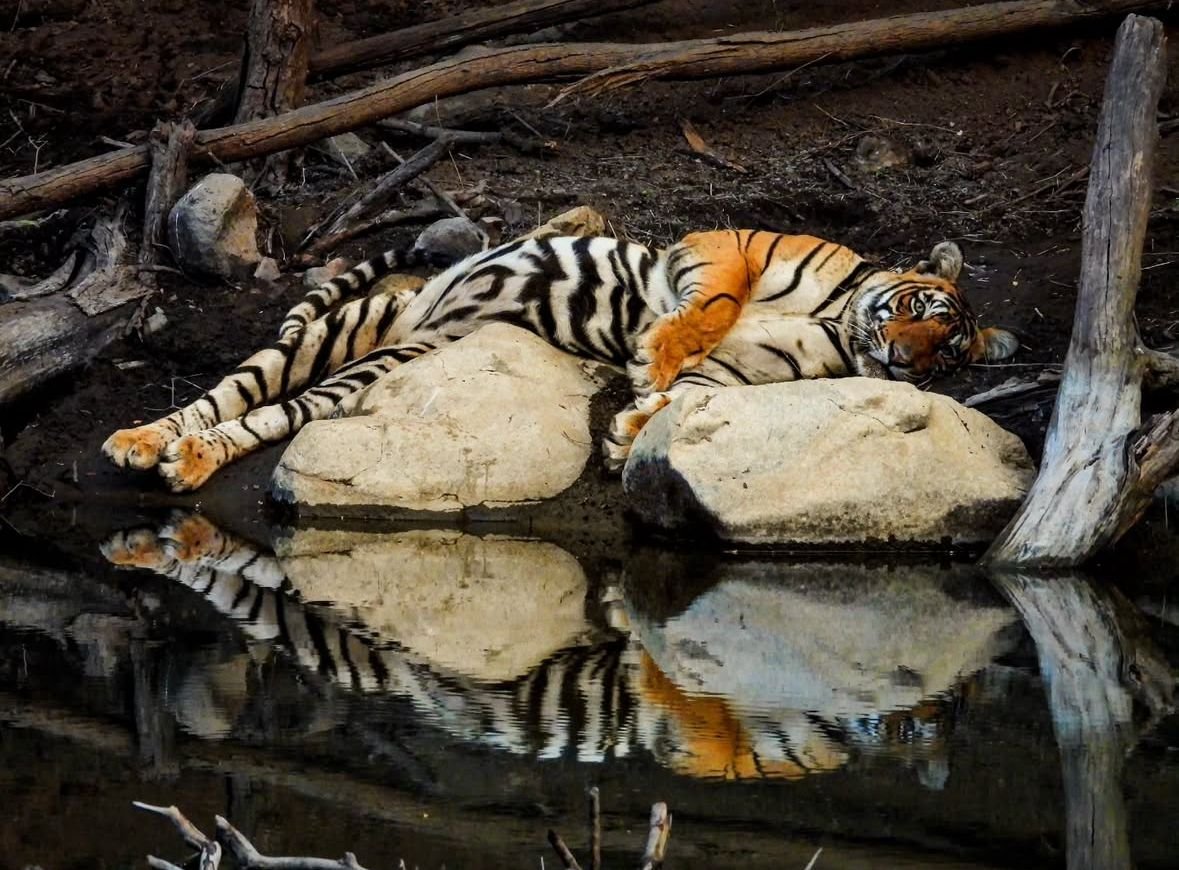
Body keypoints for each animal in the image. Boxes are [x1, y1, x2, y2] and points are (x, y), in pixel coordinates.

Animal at [101, 229, 1019, 492]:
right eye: (917, 313)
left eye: (942, 359)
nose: (899, 360)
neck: (841, 324)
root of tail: (427, 311)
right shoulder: (730, 247)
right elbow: (711, 307)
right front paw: (651, 356)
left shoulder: (739, 373)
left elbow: (682, 396)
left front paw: (629, 429)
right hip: (339, 331)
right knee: (229, 389)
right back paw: (142, 439)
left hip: (376, 365)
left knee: (274, 415)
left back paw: (183, 459)